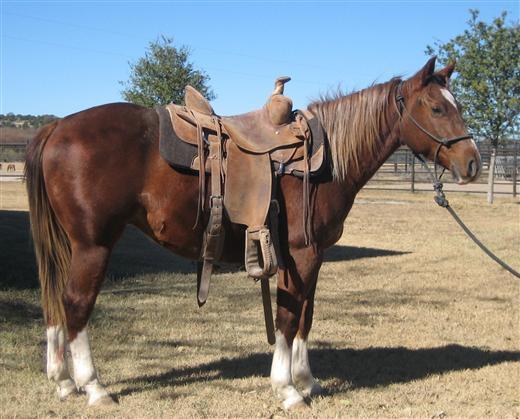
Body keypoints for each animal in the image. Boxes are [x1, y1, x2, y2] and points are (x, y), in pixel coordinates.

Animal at [24, 58, 480, 410]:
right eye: (437, 108)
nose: (472, 163)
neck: (325, 160)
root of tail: (58, 127)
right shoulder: (299, 254)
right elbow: (288, 318)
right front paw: (287, 389)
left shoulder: (315, 256)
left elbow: (306, 315)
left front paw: (307, 380)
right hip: (94, 245)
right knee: (76, 304)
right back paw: (93, 387)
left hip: (71, 246)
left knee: (56, 301)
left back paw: (63, 381)